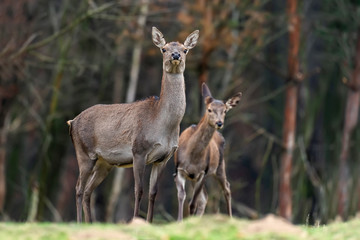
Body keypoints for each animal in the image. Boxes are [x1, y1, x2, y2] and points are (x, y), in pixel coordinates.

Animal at [67, 26, 200, 223]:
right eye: (164, 49)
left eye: (185, 49)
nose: (175, 55)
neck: (163, 124)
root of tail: (72, 122)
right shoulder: (139, 150)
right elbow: (139, 190)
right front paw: (136, 220)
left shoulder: (164, 157)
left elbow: (153, 192)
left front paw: (150, 222)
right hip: (84, 153)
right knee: (78, 188)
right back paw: (79, 223)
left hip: (104, 163)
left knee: (88, 191)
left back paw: (90, 223)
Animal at [174, 82, 242, 221]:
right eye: (209, 109)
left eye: (225, 111)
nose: (219, 123)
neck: (192, 158)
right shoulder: (179, 170)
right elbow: (182, 196)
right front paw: (180, 221)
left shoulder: (202, 173)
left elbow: (192, 204)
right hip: (195, 177)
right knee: (205, 198)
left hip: (220, 166)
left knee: (226, 188)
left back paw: (230, 218)